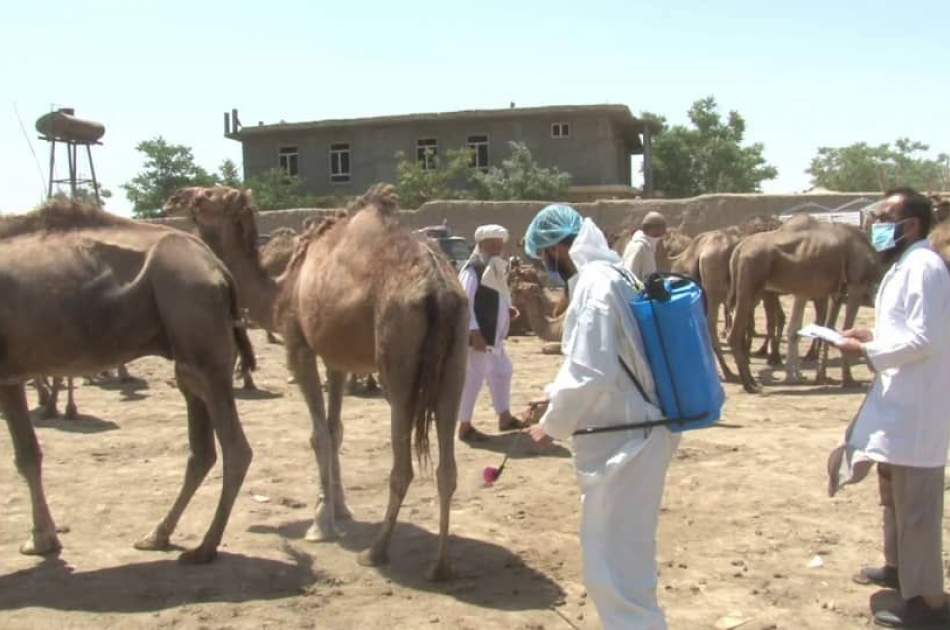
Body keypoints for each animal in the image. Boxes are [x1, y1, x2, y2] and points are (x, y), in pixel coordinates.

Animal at [0, 199, 253, 564]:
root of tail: (218, 267)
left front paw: (39, 542)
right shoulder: (11, 374)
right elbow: (27, 453)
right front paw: (44, 540)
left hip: (196, 318)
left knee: (235, 448)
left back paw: (204, 547)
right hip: (188, 345)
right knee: (202, 447)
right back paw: (158, 535)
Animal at [170, 184, 472, 584]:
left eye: (205, 196)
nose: (176, 197)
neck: (281, 288)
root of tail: (439, 290)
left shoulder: (300, 346)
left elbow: (318, 435)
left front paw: (320, 524)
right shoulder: (337, 360)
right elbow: (334, 429)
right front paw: (339, 508)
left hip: (398, 365)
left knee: (403, 466)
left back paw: (376, 552)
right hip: (455, 362)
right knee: (447, 468)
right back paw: (441, 565)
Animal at [732, 220, 880, 392]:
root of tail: (739, 248)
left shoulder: (837, 292)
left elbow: (827, 328)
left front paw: (820, 377)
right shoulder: (857, 283)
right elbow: (845, 327)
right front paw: (848, 380)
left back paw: (754, 379)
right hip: (750, 282)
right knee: (735, 333)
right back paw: (750, 384)